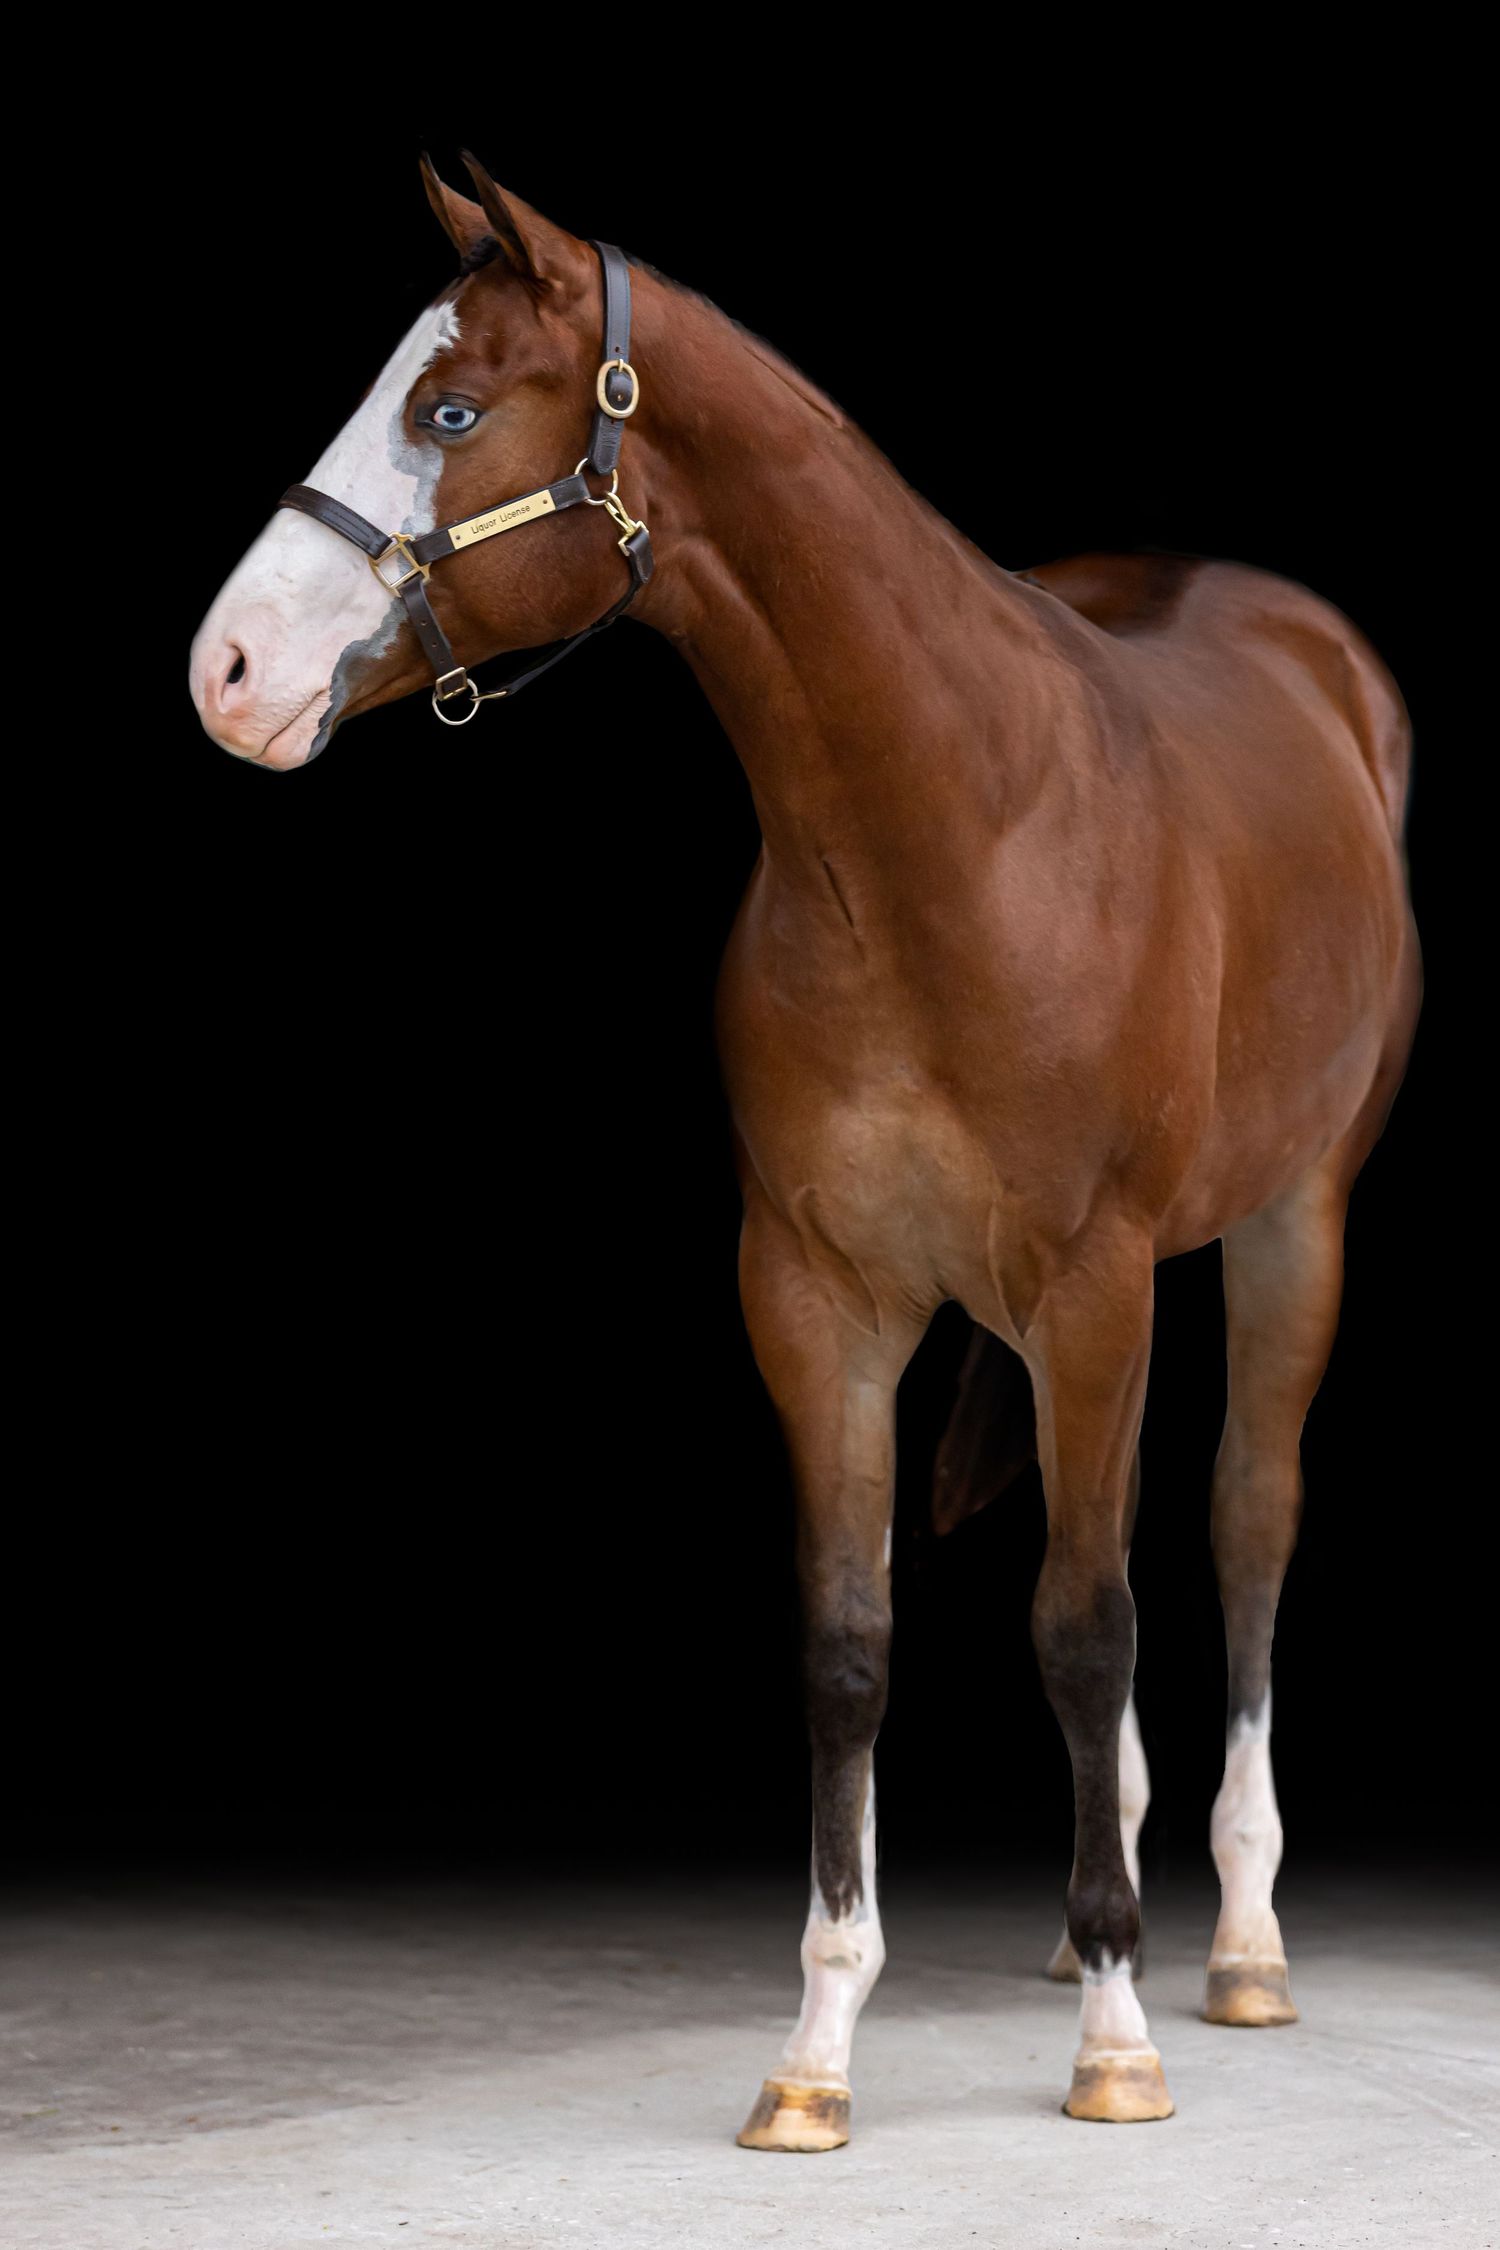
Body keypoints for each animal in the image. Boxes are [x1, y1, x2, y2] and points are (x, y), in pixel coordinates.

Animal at [190, 154, 1421, 2146]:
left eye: (449, 414)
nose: (225, 670)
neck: (955, 831)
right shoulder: (818, 1296)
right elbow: (853, 1640)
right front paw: (820, 2047)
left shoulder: (1093, 1284)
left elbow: (1087, 1622)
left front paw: (1120, 2043)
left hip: (1289, 1226)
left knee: (1242, 1527)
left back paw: (1233, 1946)